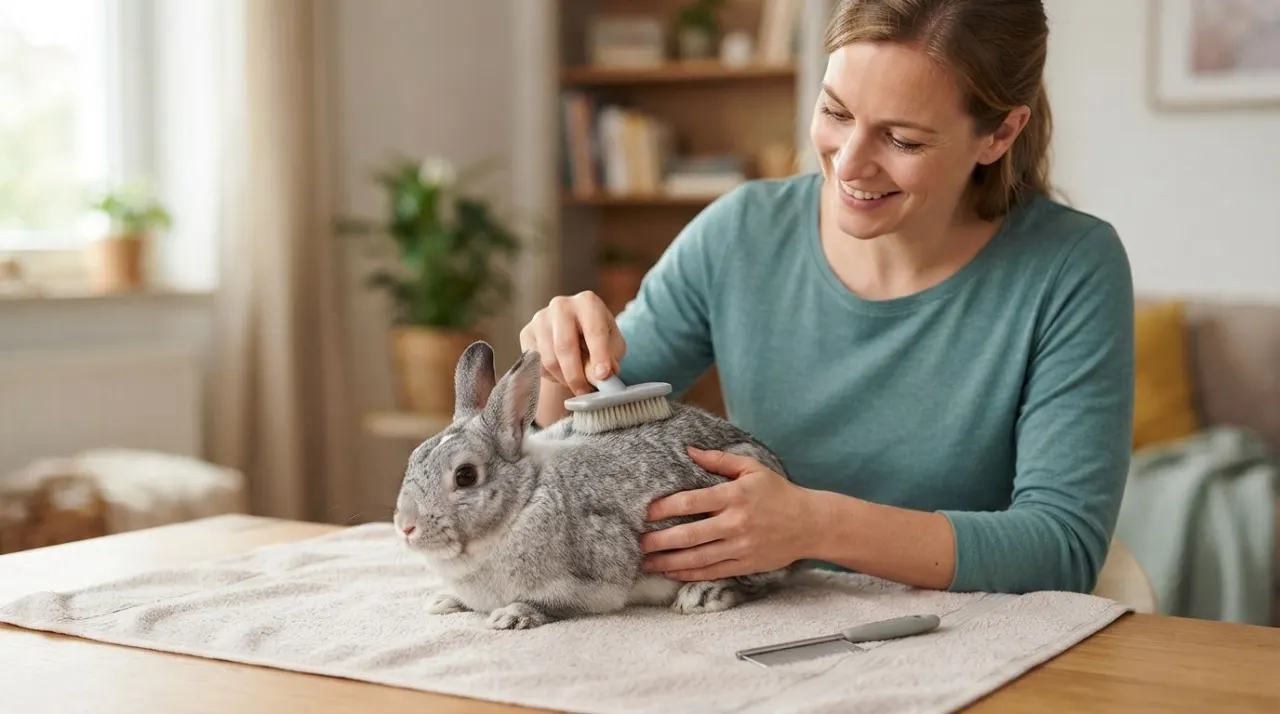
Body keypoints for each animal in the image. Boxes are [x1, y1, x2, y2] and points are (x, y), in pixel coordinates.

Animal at [392, 340, 798, 630]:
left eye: (465, 476)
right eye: (414, 458)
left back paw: (702, 594)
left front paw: (512, 615)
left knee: (765, 581)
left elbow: (554, 605)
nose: (406, 526)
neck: (525, 500)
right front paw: (444, 601)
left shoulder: (595, 580)